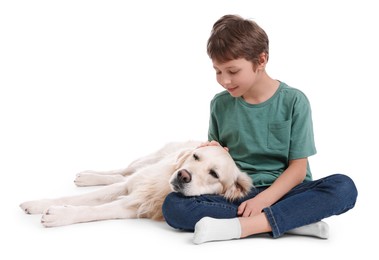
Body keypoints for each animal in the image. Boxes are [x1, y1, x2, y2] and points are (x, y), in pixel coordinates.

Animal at [19, 140, 254, 228]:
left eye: (214, 174)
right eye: (196, 157)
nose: (183, 175)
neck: (162, 188)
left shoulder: (133, 206)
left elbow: (95, 209)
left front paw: (59, 214)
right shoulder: (133, 186)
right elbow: (81, 198)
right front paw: (37, 204)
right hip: (146, 162)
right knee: (123, 172)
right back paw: (87, 176)